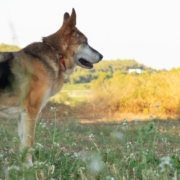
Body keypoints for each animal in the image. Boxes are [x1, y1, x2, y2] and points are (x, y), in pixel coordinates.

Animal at [0, 8, 102, 166]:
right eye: (85, 42)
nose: (102, 56)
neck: (56, 53)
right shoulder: (30, 113)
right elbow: (29, 143)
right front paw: (30, 166)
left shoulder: (22, 116)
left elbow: (23, 144)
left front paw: (23, 166)